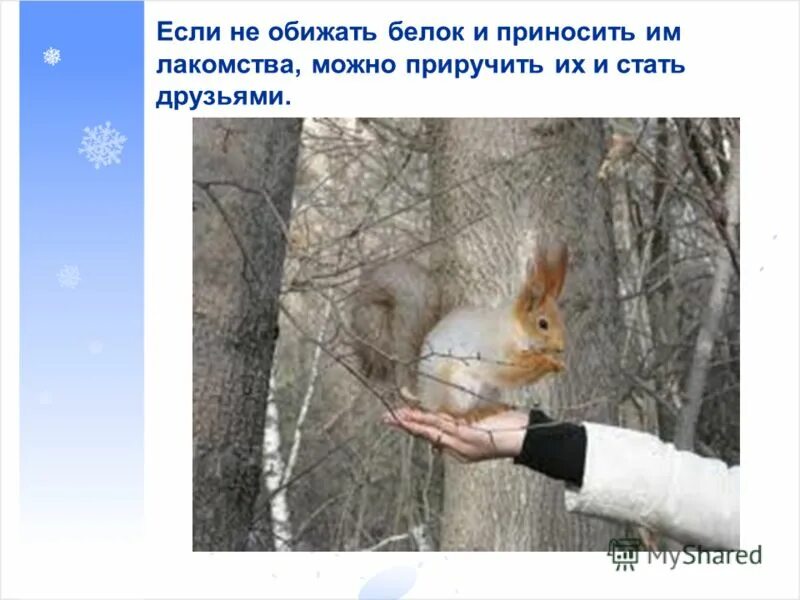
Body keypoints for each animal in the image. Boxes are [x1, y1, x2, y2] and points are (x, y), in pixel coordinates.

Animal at [351, 243, 569, 423]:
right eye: (543, 324)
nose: (560, 348)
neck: (516, 329)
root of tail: (424, 395)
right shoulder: (496, 351)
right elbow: (513, 370)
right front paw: (549, 362)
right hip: (458, 385)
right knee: (447, 410)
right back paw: (466, 414)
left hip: (489, 391)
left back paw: (492, 409)